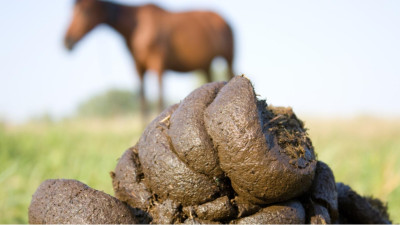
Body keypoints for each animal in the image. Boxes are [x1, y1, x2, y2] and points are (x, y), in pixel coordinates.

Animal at [63, 0, 234, 116]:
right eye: (71, 11)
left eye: (85, 11)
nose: (66, 41)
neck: (137, 27)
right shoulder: (138, 67)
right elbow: (142, 100)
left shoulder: (158, 64)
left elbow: (159, 98)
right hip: (206, 65)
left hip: (228, 58)